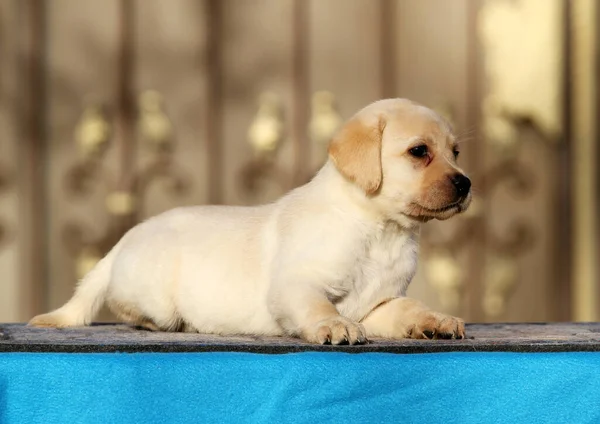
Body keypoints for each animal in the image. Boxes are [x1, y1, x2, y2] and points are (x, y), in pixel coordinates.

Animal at [30, 98, 472, 344]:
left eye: (455, 152)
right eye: (419, 151)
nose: (466, 183)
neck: (381, 230)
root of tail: (122, 241)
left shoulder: (380, 303)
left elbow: (411, 307)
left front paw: (437, 321)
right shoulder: (295, 284)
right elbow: (318, 306)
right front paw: (334, 327)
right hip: (154, 298)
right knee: (132, 311)